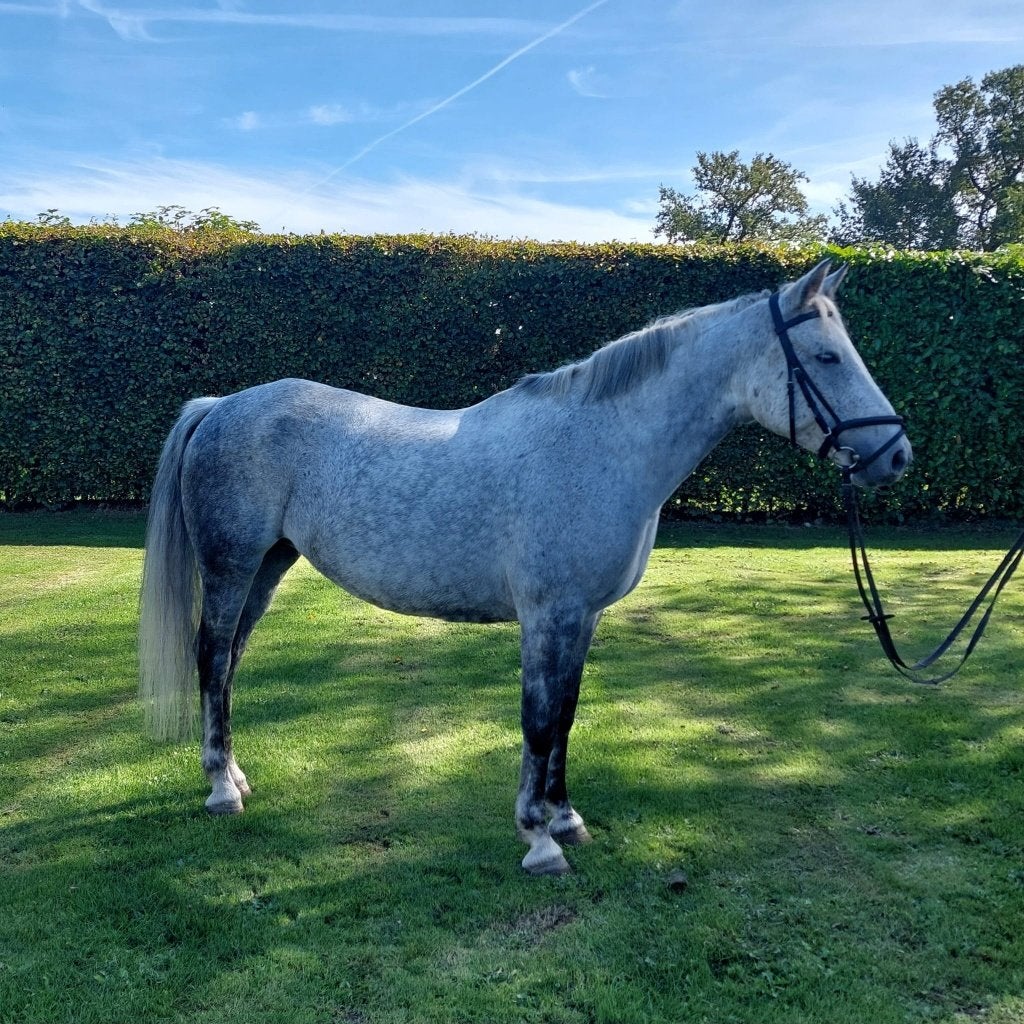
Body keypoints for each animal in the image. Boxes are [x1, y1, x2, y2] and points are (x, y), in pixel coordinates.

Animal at [139, 259, 911, 875]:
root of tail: (221, 406)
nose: (896, 455)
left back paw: (237, 777)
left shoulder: (580, 618)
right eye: (827, 358)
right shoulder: (548, 615)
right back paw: (219, 790)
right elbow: (538, 721)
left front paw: (566, 818)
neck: (598, 445)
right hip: (233, 566)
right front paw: (540, 841)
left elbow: (564, 714)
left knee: (229, 665)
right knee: (212, 659)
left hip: (268, 566)